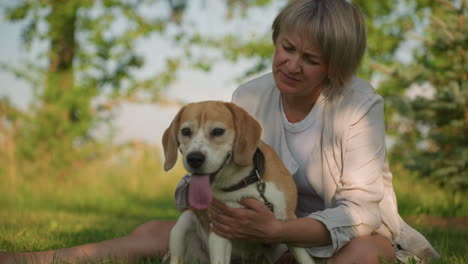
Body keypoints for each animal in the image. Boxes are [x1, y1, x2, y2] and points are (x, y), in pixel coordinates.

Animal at [164, 101, 314, 264]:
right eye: (185, 131)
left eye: (218, 131)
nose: (194, 158)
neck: (241, 181)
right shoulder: (219, 230)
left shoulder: (287, 221)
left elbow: (305, 259)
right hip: (182, 225)